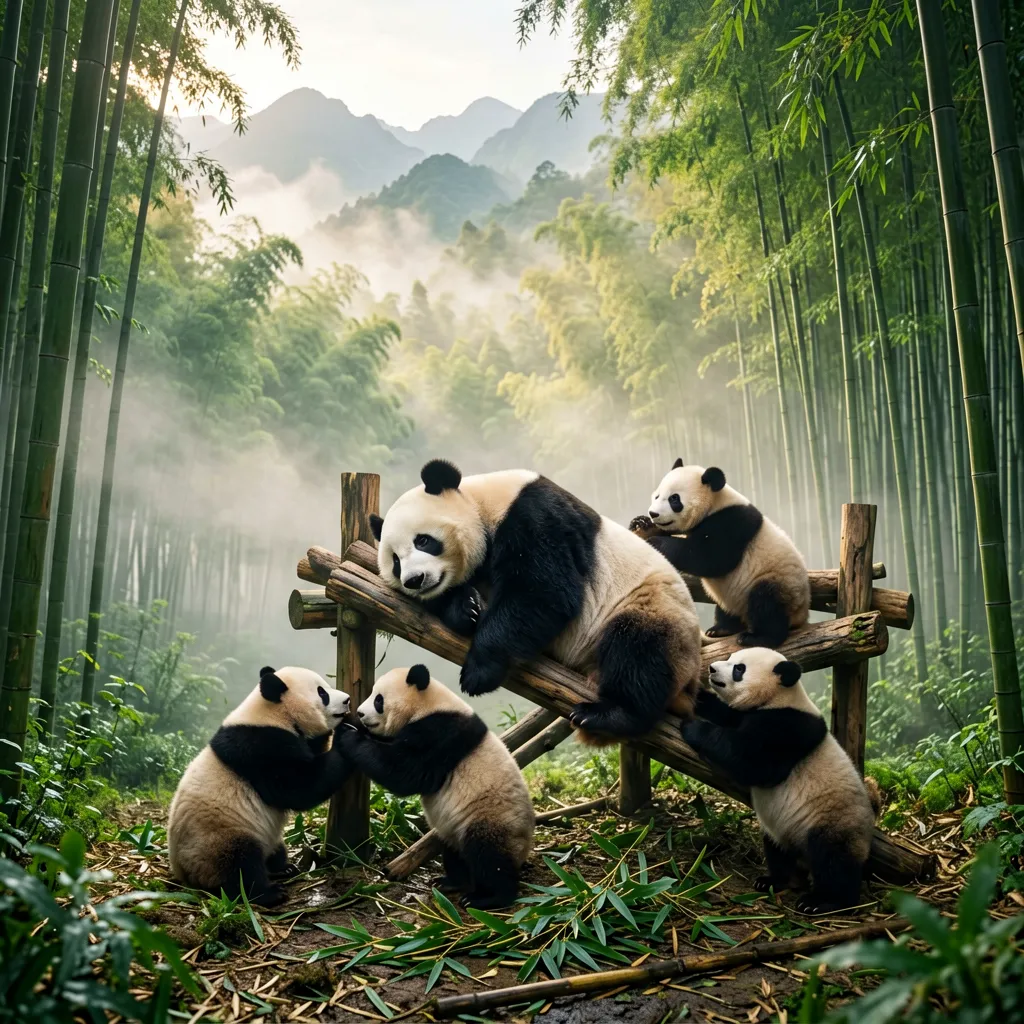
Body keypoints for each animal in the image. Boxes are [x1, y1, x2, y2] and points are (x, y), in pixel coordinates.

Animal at [168, 666, 352, 906]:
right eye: (323, 693)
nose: (348, 700)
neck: (273, 714)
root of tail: (182, 873)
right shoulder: (260, 748)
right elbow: (299, 788)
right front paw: (345, 739)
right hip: (218, 837)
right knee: (240, 865)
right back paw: (269, 892)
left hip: (266, 837)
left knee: (273, 849)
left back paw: (284, 867)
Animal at [336, 664, 534, 909]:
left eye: (378, 700)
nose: (361, 713)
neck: (428, 705)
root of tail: (524, 848)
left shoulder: (440, 734)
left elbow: (404, 772)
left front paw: (347, 735)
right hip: (455, 828)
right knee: (455, 853)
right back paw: (451, 882)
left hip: (493, 818)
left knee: (488, 856)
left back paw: (488, 897)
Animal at [370, 459, 702, 744]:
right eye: (395, 561)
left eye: (423, 541)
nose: (414, 580)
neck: (481, 504)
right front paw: (466, 608)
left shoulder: (534, 516)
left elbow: (542, 591)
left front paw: (479, 671)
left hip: (655, 608)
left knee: (639, 649)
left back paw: (611, 714)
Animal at [630, 460, 810, 648]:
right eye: (657, 496)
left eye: (674, 499)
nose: (653, 513)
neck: (715, 503)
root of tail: (802, 615)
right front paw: (640, 522)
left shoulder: (732, 521)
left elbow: (710, 558)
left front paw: (655, 543)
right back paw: (722, 628)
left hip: (781, 583)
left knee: (766, 603)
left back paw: (757, 637)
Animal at [681, 647, 880, 914]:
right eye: (731, 658)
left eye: (739, 669)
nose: (712, 669)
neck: (779, 697)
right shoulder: (748, 714)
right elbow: (725, 713)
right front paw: (694, 694)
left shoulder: (790, 727)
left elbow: (753, 760)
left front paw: (692, 727)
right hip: (780, 829)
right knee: (777, 851)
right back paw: (774, 881)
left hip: (835, 821)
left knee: (833, 861)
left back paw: (823, 901)